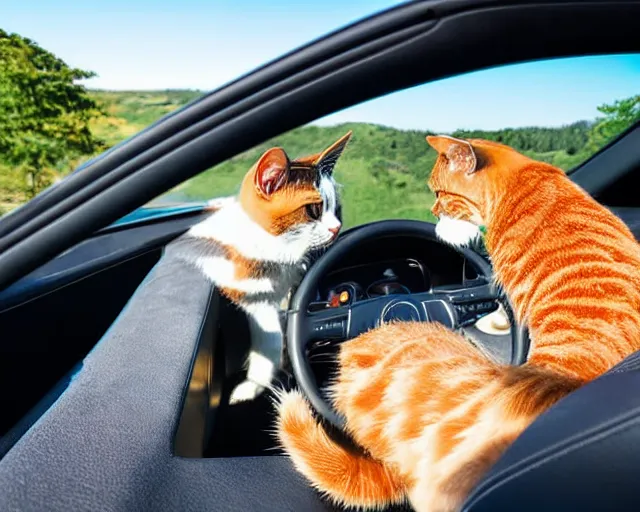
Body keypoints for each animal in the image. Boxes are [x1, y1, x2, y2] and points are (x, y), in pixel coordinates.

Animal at [178, 132, 352, 404]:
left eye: (337, 209)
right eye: (314, 210)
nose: (336, 228)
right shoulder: (249, 295)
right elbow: (268, 335)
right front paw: (254, 384)